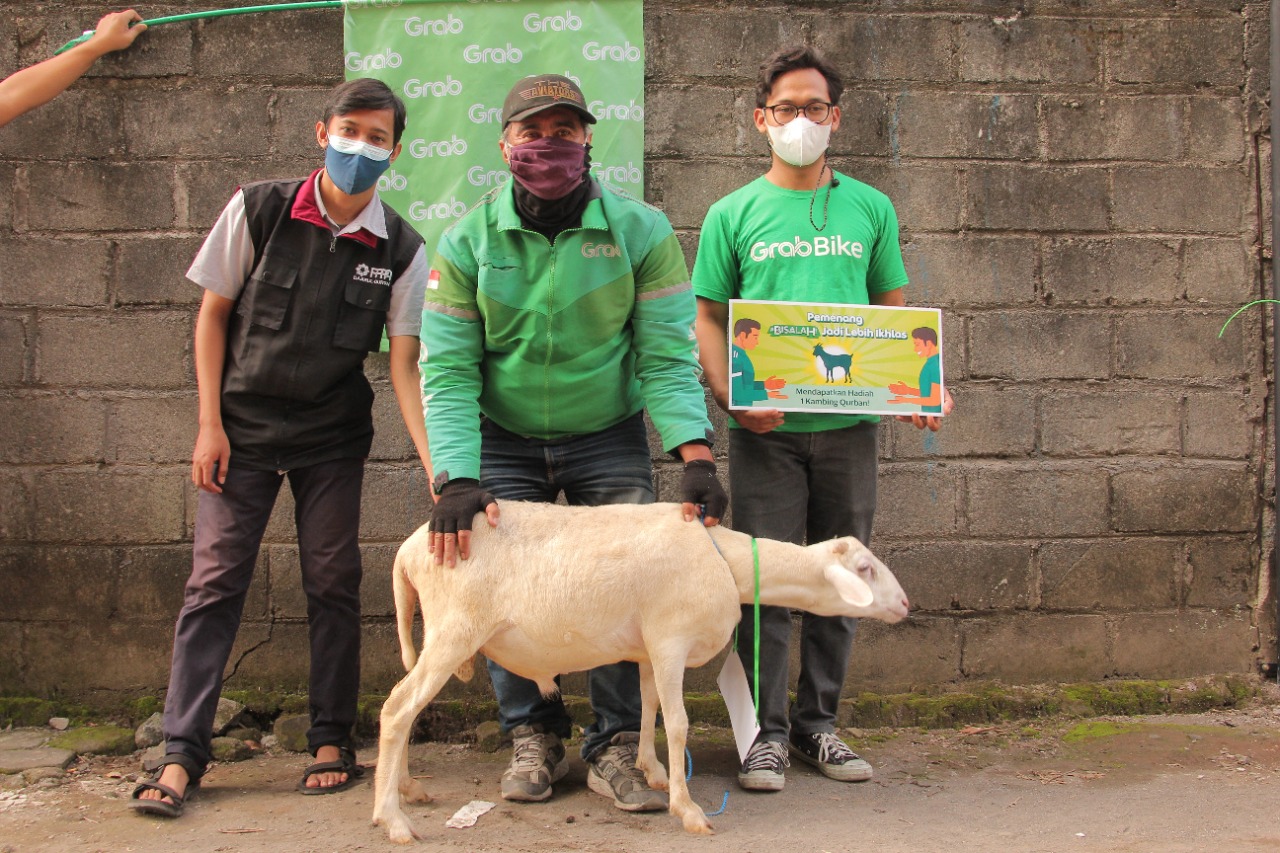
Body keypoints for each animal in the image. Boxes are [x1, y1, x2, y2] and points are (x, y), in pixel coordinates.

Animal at [373, 499, 911, 835]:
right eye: (864, 570)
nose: (906, 604)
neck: (728, 562)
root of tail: (406, 552)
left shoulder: (652, 647)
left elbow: (650, 707)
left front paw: (650, 772)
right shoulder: (672, 639)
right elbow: (677, 724)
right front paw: (687, 808)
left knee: (406, 710)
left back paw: (406, 789)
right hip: (453, 629)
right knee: (397, 710)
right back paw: (392, 818)